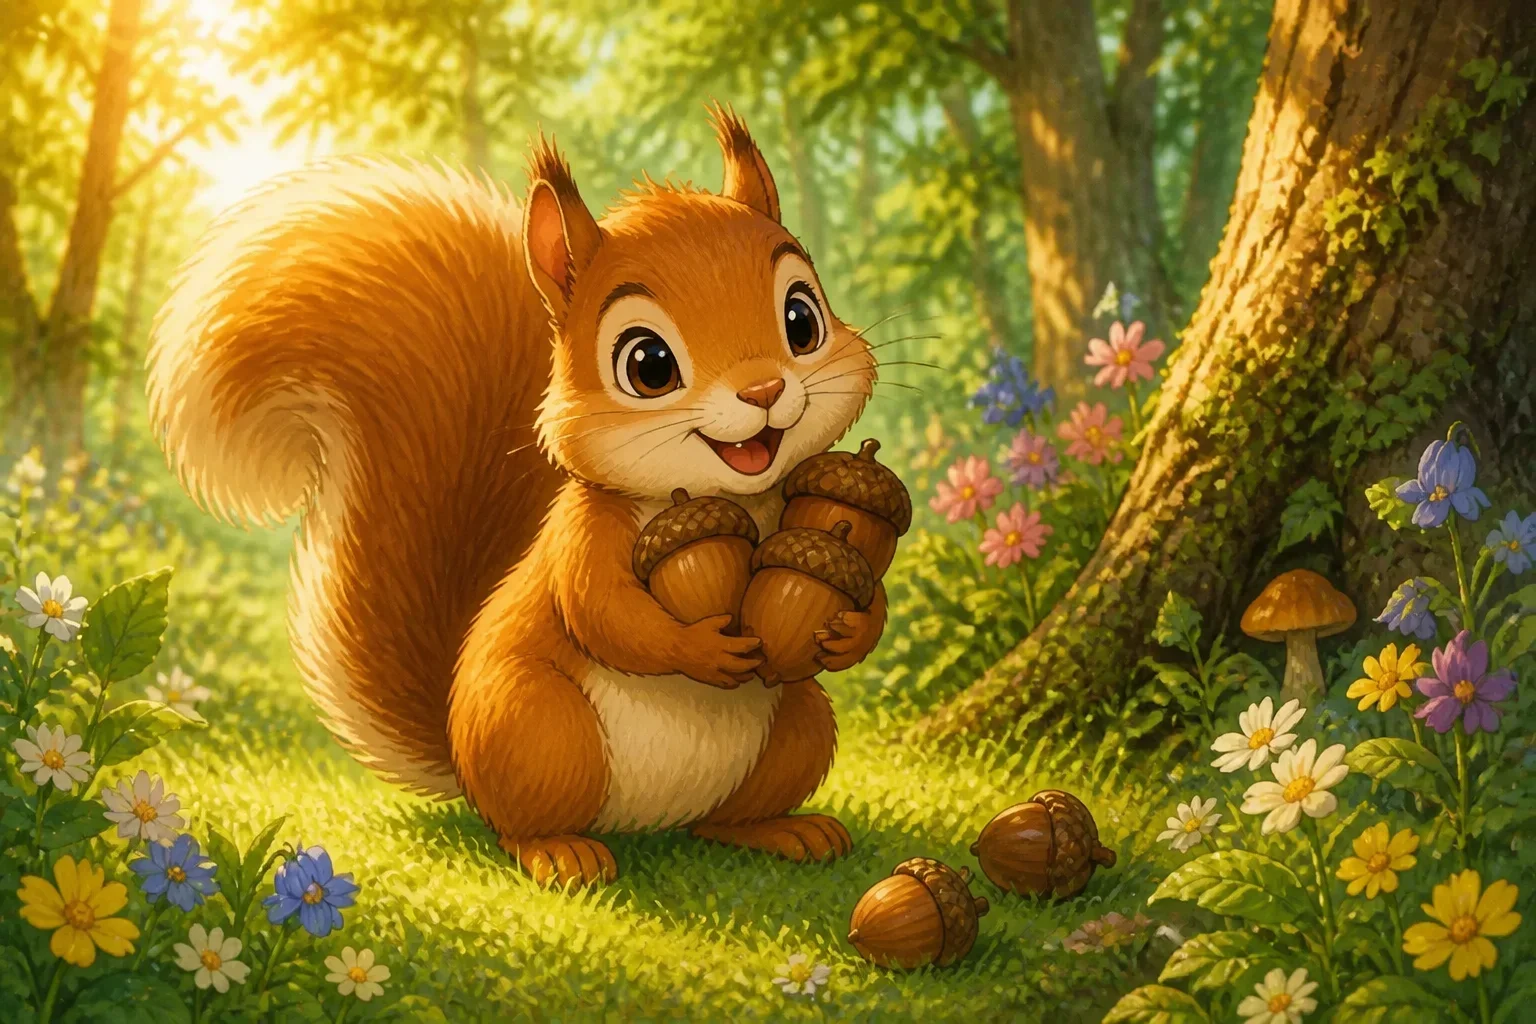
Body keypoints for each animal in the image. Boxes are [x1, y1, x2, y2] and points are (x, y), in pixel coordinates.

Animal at [146, 108, 885, 887]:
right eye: (648, 364)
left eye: (802, 318)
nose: (765, 390)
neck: (737, 496)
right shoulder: (582, 532)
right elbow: (607, 615)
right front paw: (699, 648)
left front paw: (852, 631)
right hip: (536, 725)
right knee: (516, 826)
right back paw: (559, 851)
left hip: (799, 727)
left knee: (727, 817)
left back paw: (784, 830)